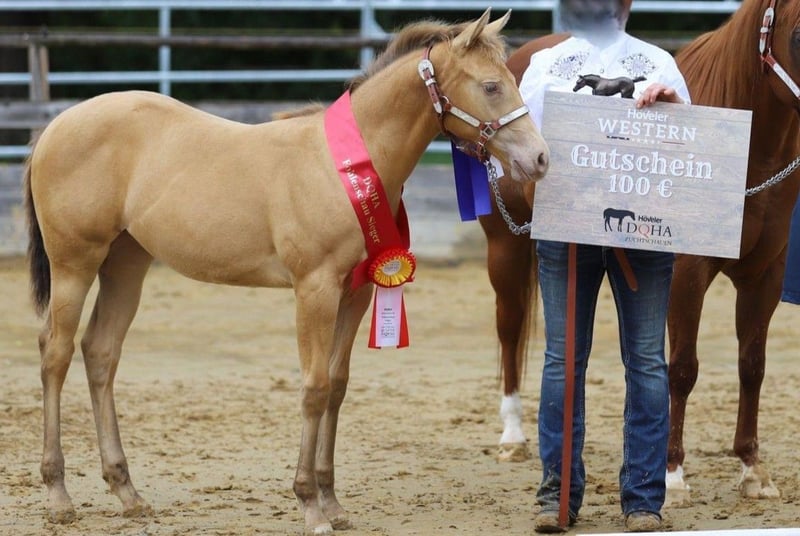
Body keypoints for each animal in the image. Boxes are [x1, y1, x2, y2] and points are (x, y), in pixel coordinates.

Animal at [23, 9, 549, 535]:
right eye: (491, 86)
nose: (540, 158)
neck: (344, 166)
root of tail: (55, 127)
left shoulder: (355, 294)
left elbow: (336, 386)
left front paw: (332, 502)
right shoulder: (314, 289)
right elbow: (313, 388)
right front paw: (309, 504)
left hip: (126, 264)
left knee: (100, 352)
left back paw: (126, 491)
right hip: (75, 263)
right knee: (56, 353)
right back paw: (58, 494)